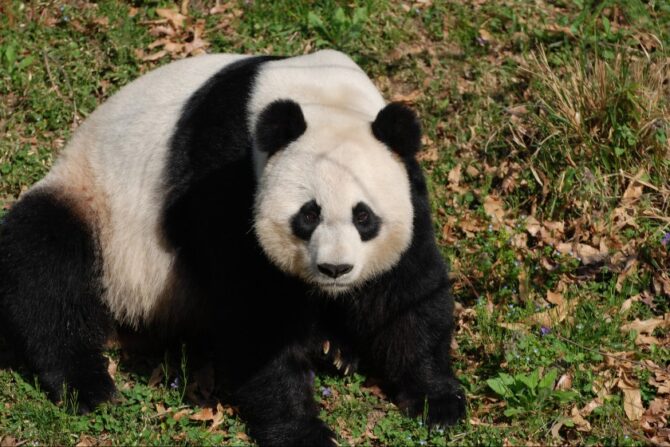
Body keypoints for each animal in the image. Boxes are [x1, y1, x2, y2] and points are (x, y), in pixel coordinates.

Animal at [0, 50, 464, 446]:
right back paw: (88, 383)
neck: (322, 97)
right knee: (46, 260)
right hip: (95, 205)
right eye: (308, 214)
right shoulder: (226, 172)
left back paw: (334, 350)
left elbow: (407, 291)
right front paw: (302, 429)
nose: (334, 269)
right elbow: (254, 309)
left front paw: (438, 401)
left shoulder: (407, 181)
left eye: (363, 217)